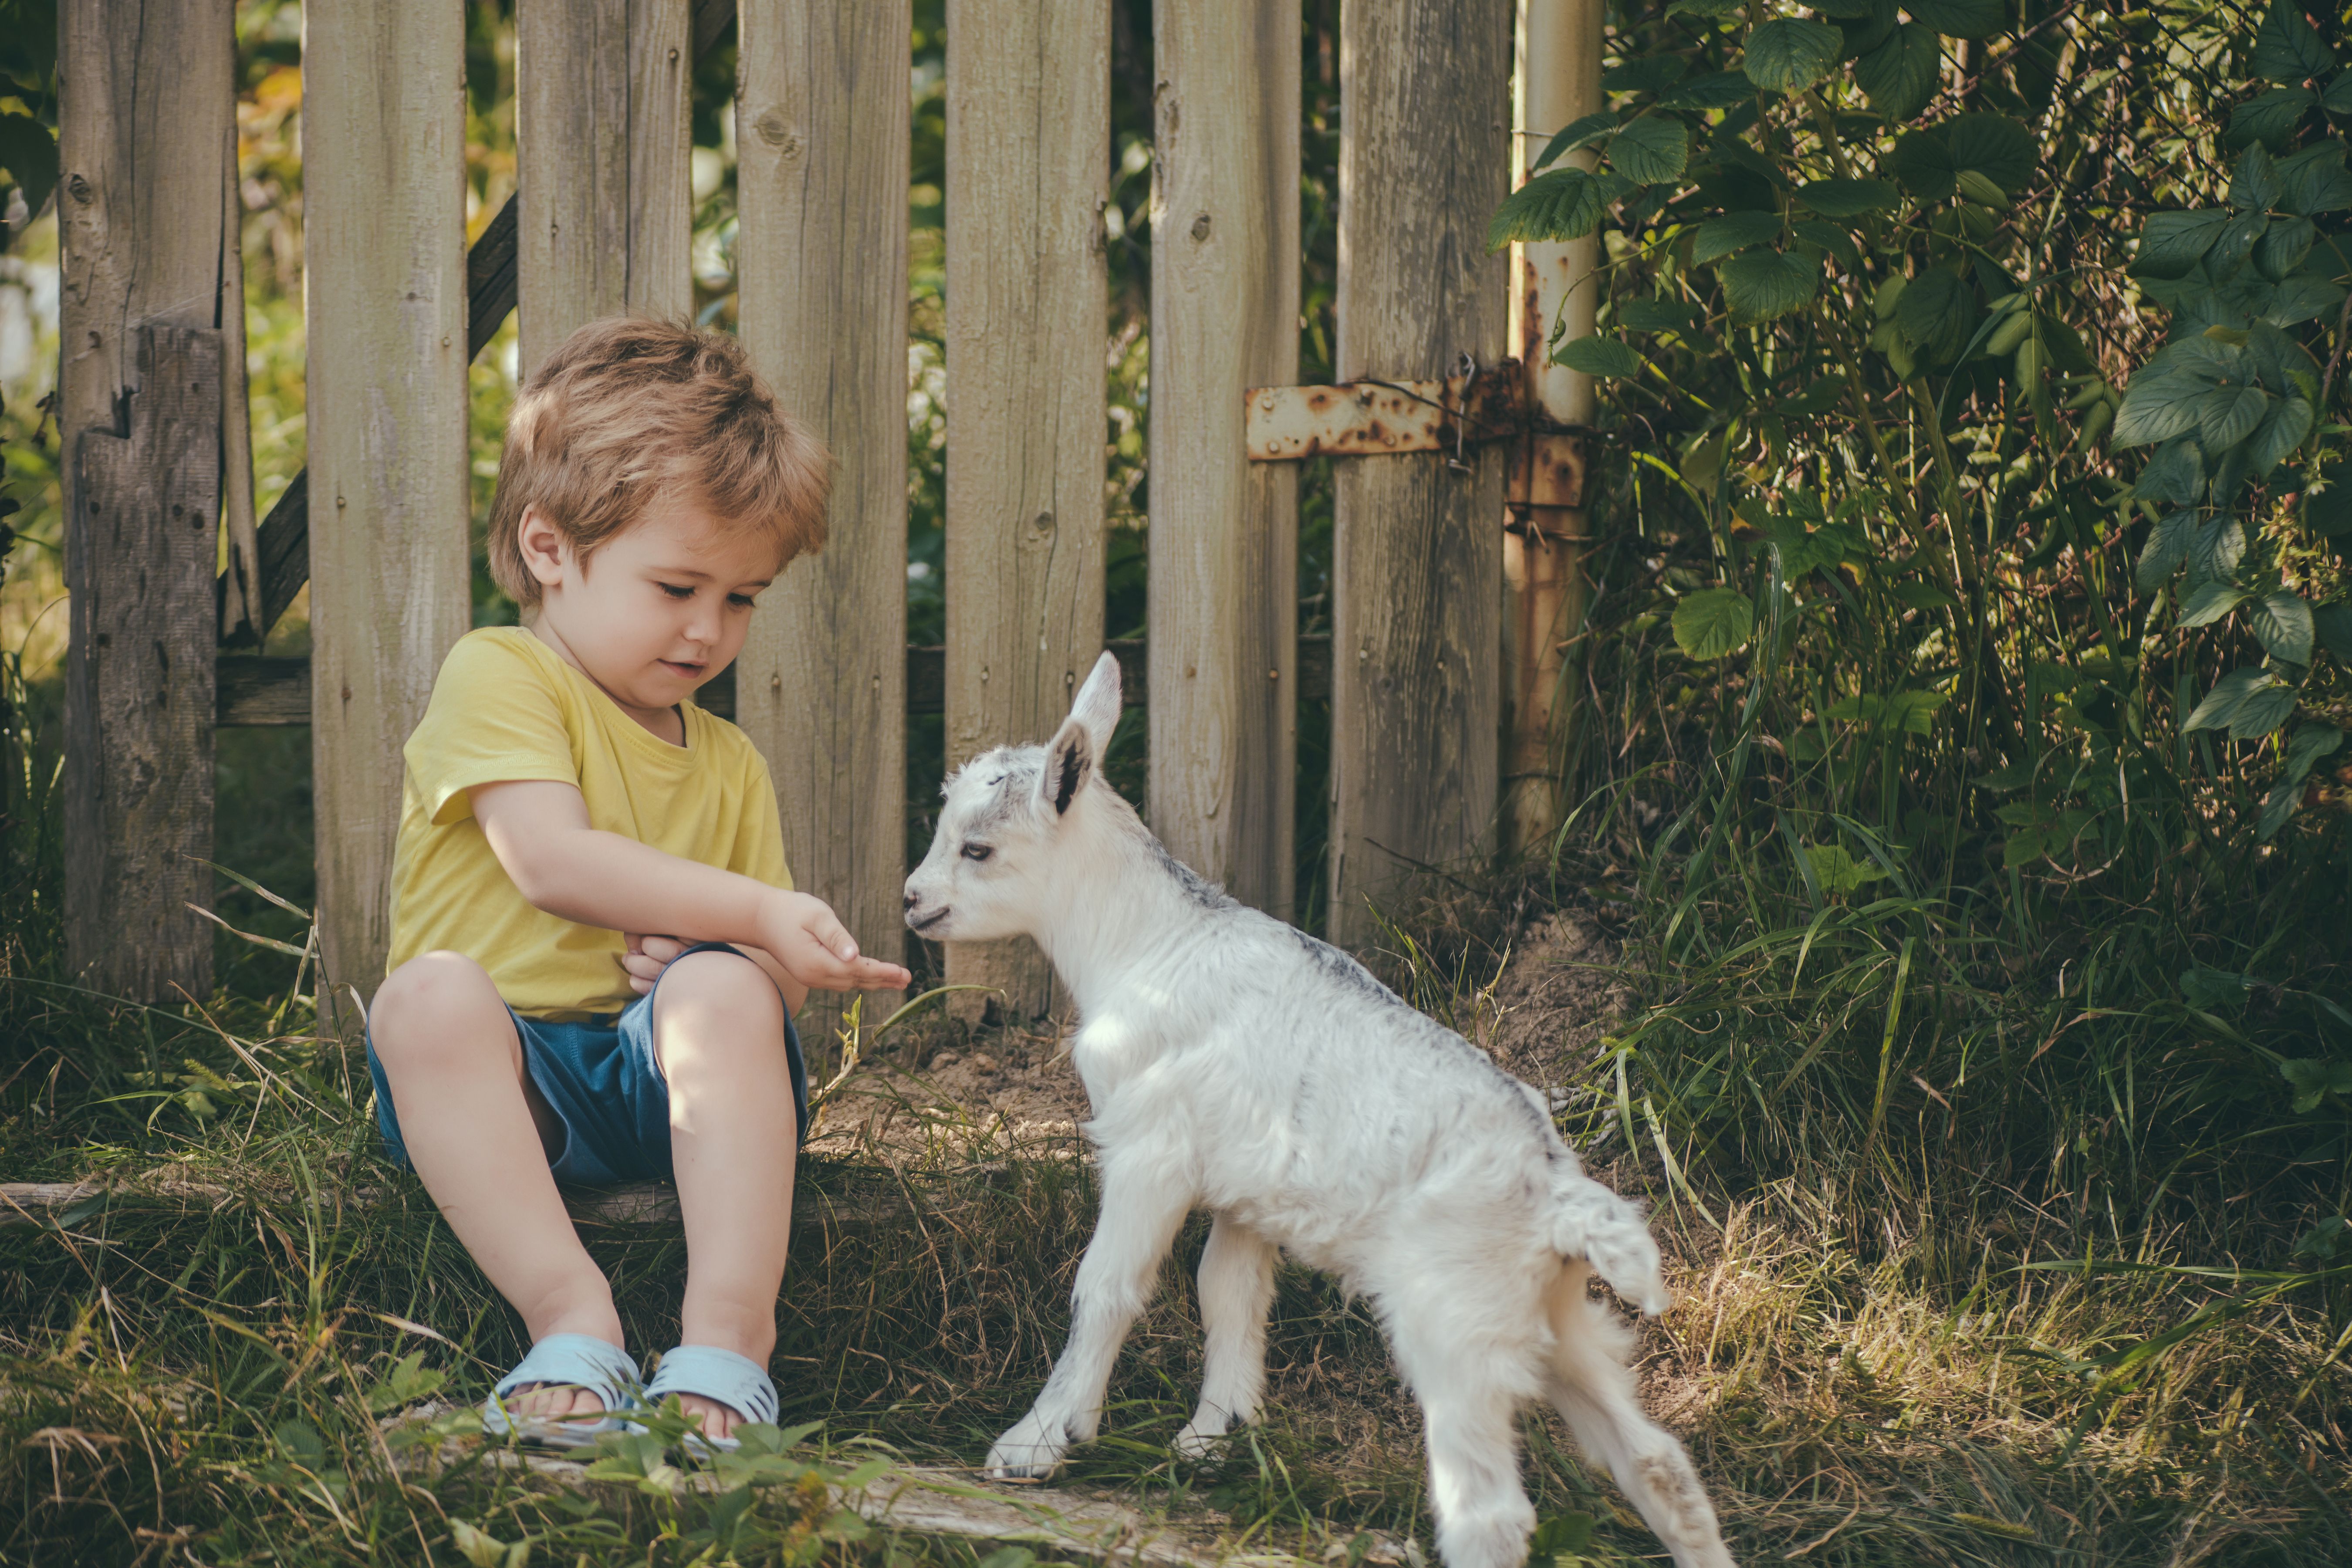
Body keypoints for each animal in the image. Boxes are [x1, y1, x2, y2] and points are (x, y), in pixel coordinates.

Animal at [902, 652, 1734, 1568]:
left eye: (978, 848)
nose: (912, 900)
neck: (1146, 944)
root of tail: (1557, 1195)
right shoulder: (1247, 1188)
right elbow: (1227, 1292)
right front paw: (1214, 1438)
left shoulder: (1150, 1148)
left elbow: (1109, 1284)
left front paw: (1039, 1443)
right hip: (1556, 1321)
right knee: (1658, 1463)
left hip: (1455, 1327)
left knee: (1489, 1513)